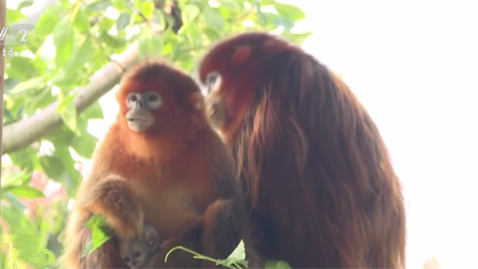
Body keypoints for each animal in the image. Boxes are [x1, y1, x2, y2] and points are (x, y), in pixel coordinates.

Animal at [62, 60, 262, 268]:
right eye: (132, 98)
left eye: (152, 98)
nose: (138, 104)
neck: (158, 156)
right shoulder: (111, 144)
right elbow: (83, 221)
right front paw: (118, 202)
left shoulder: (212, 149)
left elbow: (246, 250)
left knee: (222, 212)